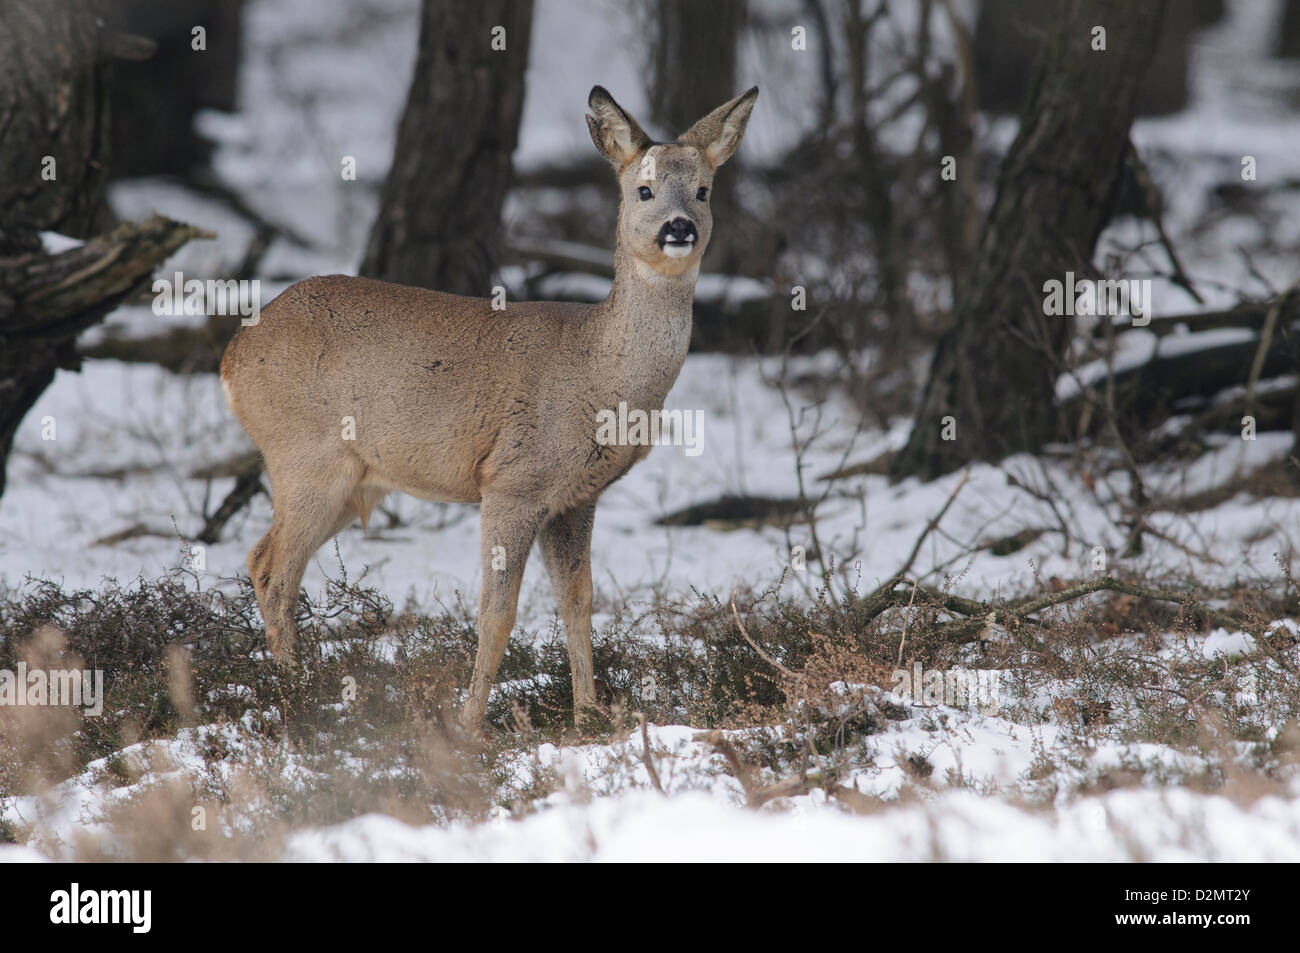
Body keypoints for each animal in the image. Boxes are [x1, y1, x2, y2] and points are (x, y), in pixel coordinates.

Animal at [219, 85, 759, 730]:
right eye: (643, 190)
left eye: (703, 190)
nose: (679, 227)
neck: (598, 371)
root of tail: (231, 356)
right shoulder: (512, 481)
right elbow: (497, 614)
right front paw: (469, 726)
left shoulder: (575, 498)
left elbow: (579, 603)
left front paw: (587, 716)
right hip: (306, 457)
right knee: (273, 568)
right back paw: (298, 699)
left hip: (352, 481)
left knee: (265, 560)